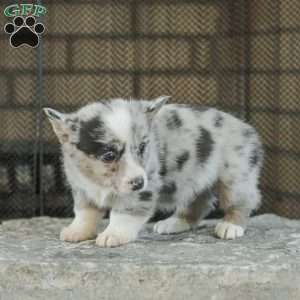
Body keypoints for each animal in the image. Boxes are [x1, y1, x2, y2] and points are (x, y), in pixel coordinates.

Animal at [44, 97, 262, 247]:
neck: (99, 181)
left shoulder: (138, 194)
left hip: (235, 179)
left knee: (242, 202)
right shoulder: (83, 189)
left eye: (141, 148)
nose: (139, 182)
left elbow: (123, 215)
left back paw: (231, 226)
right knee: (199, 203)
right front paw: (76, 232)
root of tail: (250, 130)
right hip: (193, 179)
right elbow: (84, 214)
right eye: (108, 156)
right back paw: (174, 223)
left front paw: (113, 235)